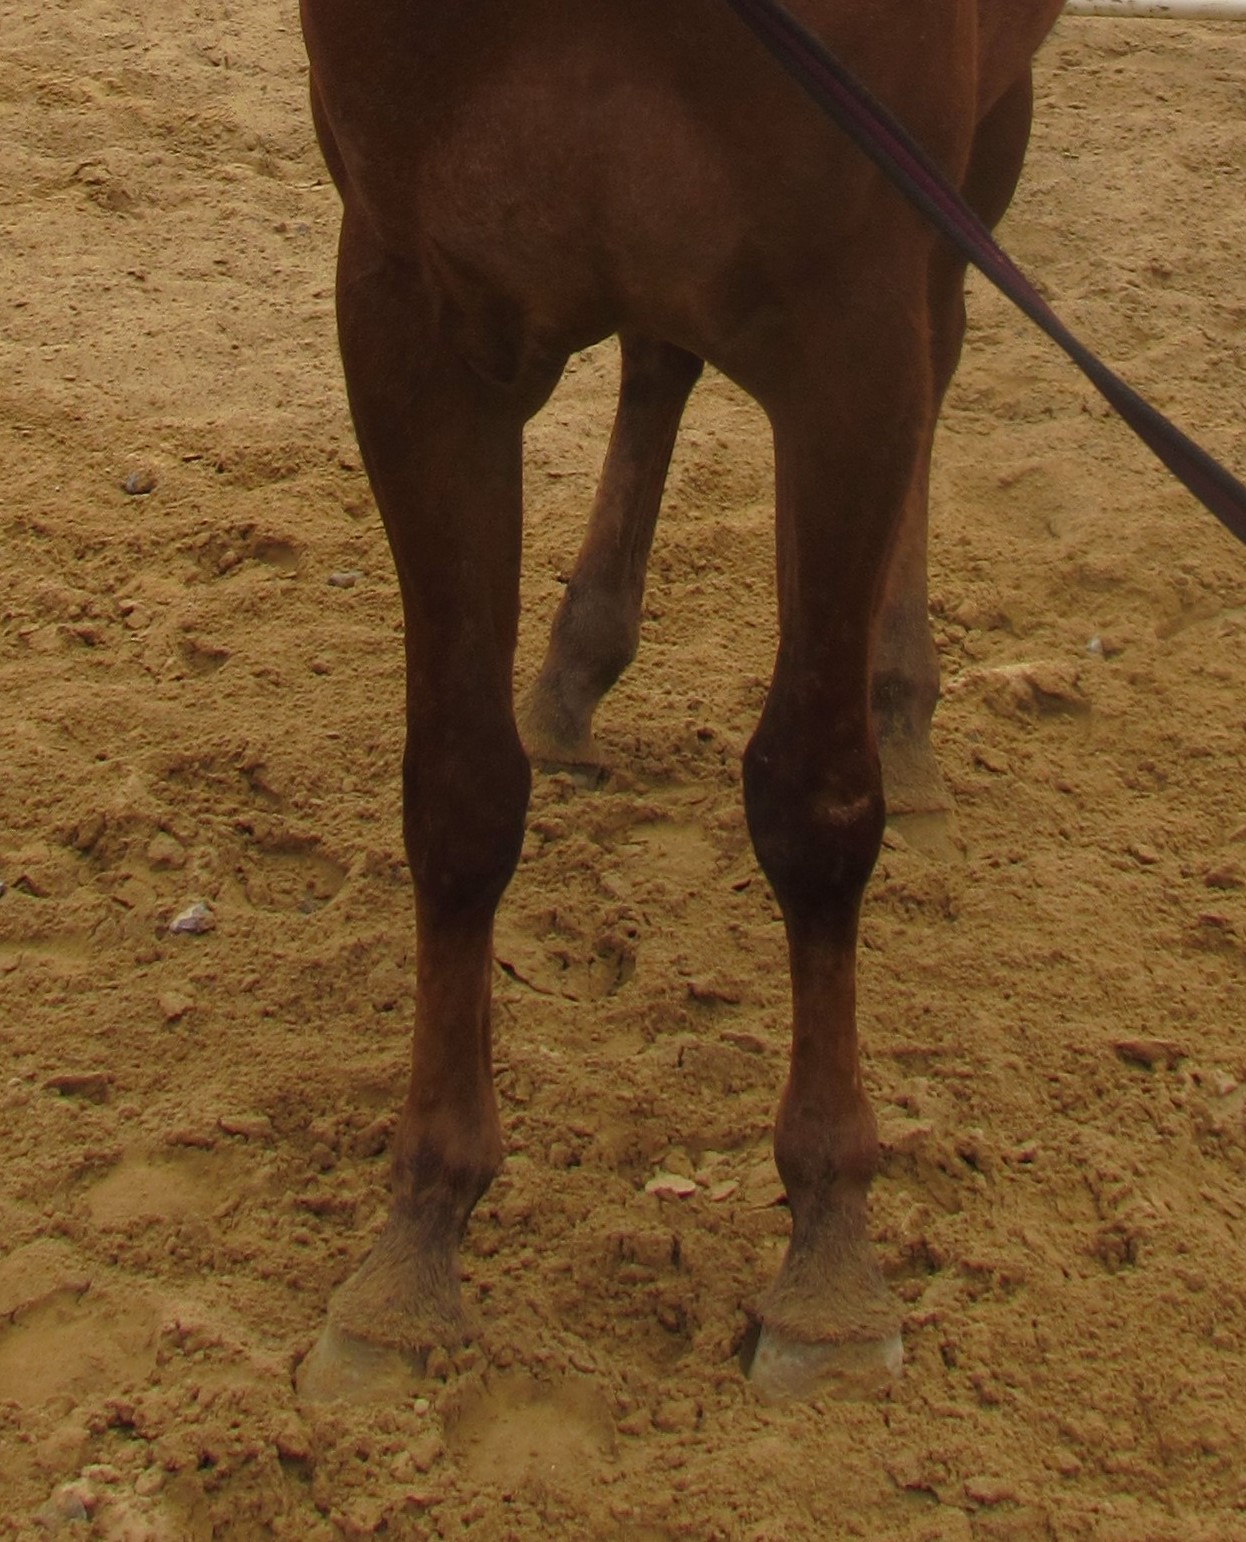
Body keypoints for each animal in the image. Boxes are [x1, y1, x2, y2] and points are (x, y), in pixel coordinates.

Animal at [296, 0, 1067, 1401]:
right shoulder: (411, 323)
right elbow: (459, 797)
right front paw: (416, 1244)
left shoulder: (851, 331)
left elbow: (814, 805)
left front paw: (828, 1260)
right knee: (661, 357)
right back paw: (572, 669)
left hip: (976, 164)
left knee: (942, 355)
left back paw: (905, 717)